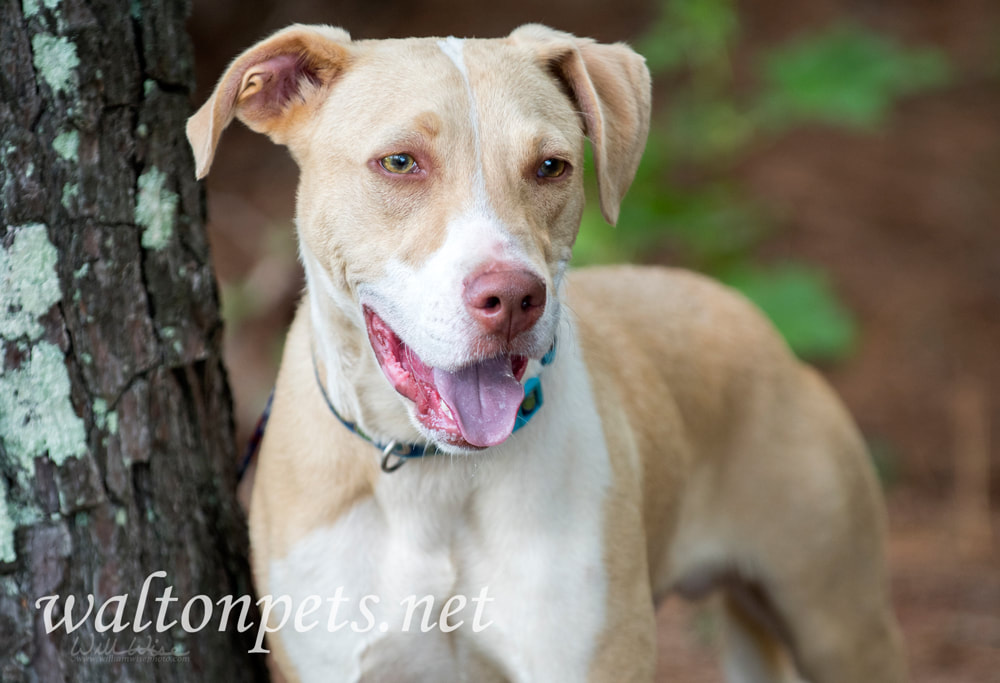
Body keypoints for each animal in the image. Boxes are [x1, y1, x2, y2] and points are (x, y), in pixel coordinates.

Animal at [186, 22, 908, 683]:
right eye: (399, 162)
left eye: (550, 166)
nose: (512, 297)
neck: (432, 475)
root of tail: (749, 316)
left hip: (838, 625)